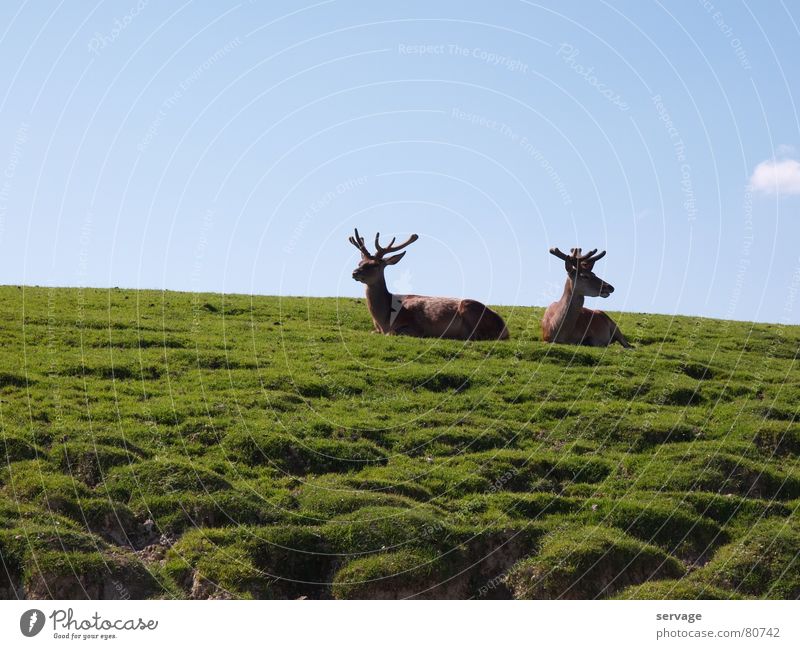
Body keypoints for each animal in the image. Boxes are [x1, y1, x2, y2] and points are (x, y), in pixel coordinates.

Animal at [348, 228, 510, 340]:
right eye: (360, 262)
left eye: (375, 265)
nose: (354, 273)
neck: (383, 321)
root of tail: (505, 328)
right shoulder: (376, 329)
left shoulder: (416, 327)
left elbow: (393, 333)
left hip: (469, 308)